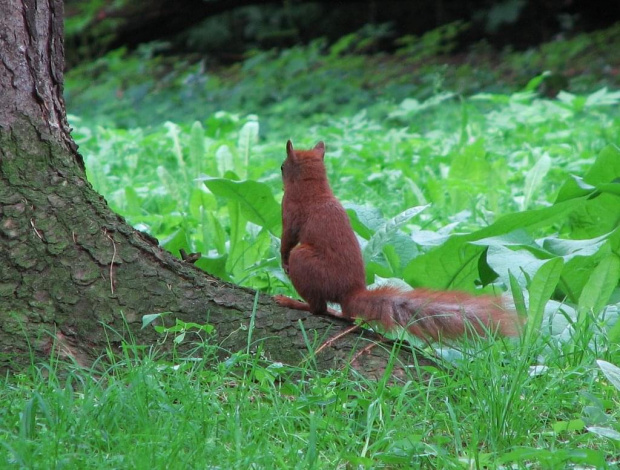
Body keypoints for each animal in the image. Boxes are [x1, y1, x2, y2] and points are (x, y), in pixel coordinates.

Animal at [274, 141, 520, 340]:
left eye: (282, 166)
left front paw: (282, 261)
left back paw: (294, 302)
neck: (314, 187)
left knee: (318, 308)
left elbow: (287, 239)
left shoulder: (290, 211)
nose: (281, 173)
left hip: (304, 260)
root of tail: (351, 292)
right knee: (344, 314)